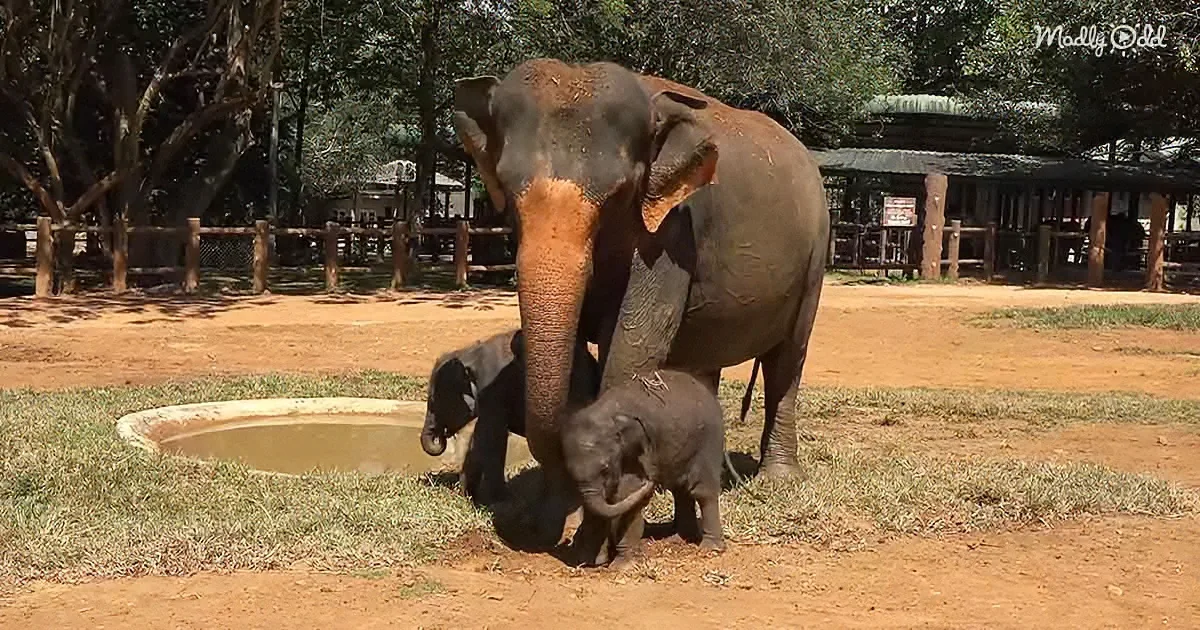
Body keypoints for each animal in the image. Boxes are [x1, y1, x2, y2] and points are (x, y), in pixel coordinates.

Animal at [420, 328, 601, 505]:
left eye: (434, 401)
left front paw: (496, 500)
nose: (440, 437)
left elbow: (491, 438)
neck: (470, 352)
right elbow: (480, 437)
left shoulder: (494, 390)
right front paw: (467, 495)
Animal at [452, 58, 828, 546]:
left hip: (814, 259)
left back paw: (777, 478)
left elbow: (632, 347)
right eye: (508, 188)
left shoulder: (672, 231)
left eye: (617, 194)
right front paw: (558, 517)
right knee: (703, 364)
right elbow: (577, 360)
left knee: (786, 361)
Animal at [560, 369, 726, 569]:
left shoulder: (635, 456)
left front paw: (622, 567)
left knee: (702, 491)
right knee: (681, 492)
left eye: (605, 468)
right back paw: (679, 539)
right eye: (570, 473)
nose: (651, 479)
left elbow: (625, 497)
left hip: (708, 441)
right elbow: (598, 506)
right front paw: (590, 560)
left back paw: (710, 548)